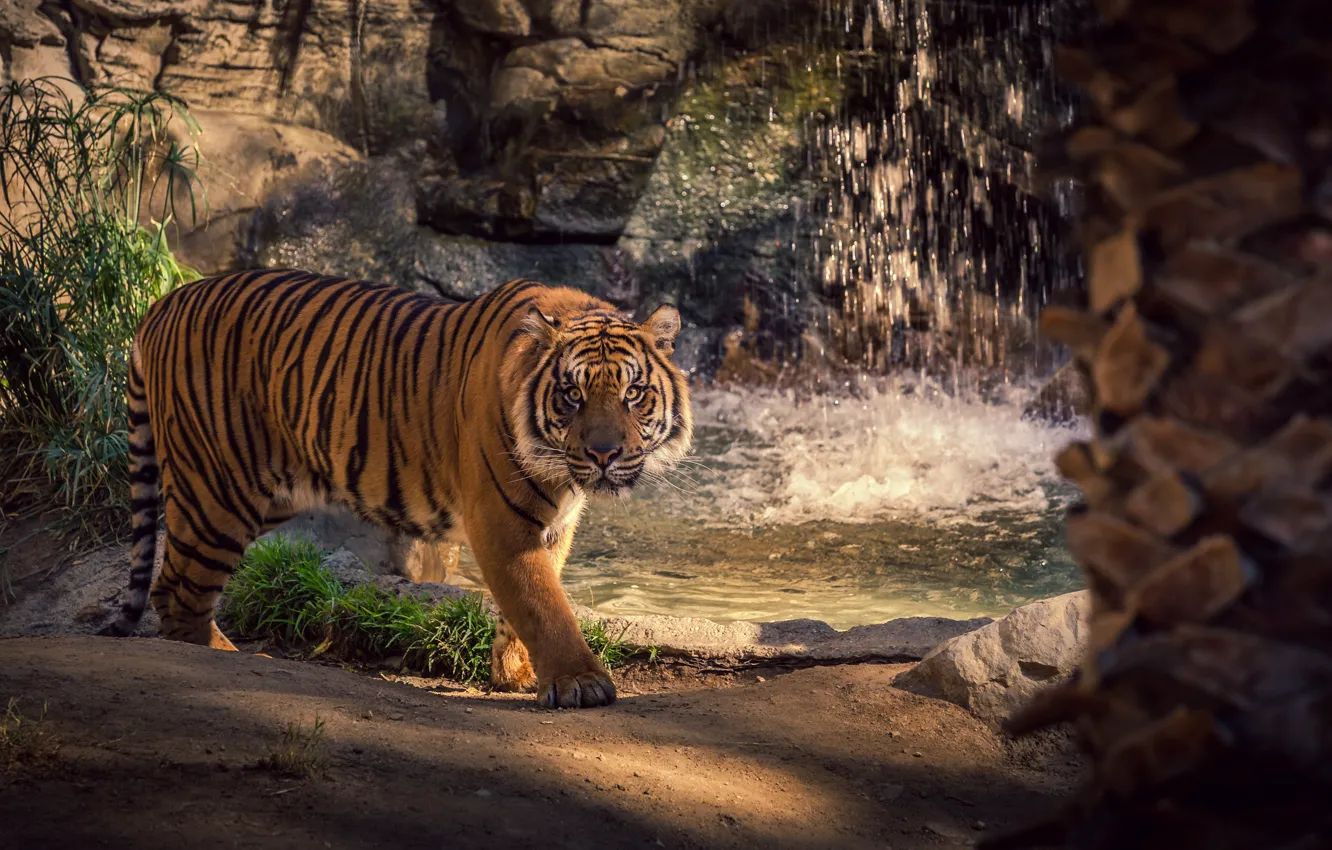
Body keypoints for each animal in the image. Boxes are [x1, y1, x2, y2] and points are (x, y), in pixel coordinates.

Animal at [101, 270, 693, 709]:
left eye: (633, 392)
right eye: (572, 394)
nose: (603, 454)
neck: (559, 470)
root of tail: (164, 301)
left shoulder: (555, 525)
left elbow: (530, 599)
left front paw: (515, 673)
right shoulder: (501, 521)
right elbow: (542, 601)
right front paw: (578, 682)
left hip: (267, 491)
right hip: (215, 491)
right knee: (177, 592)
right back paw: (232, 658)